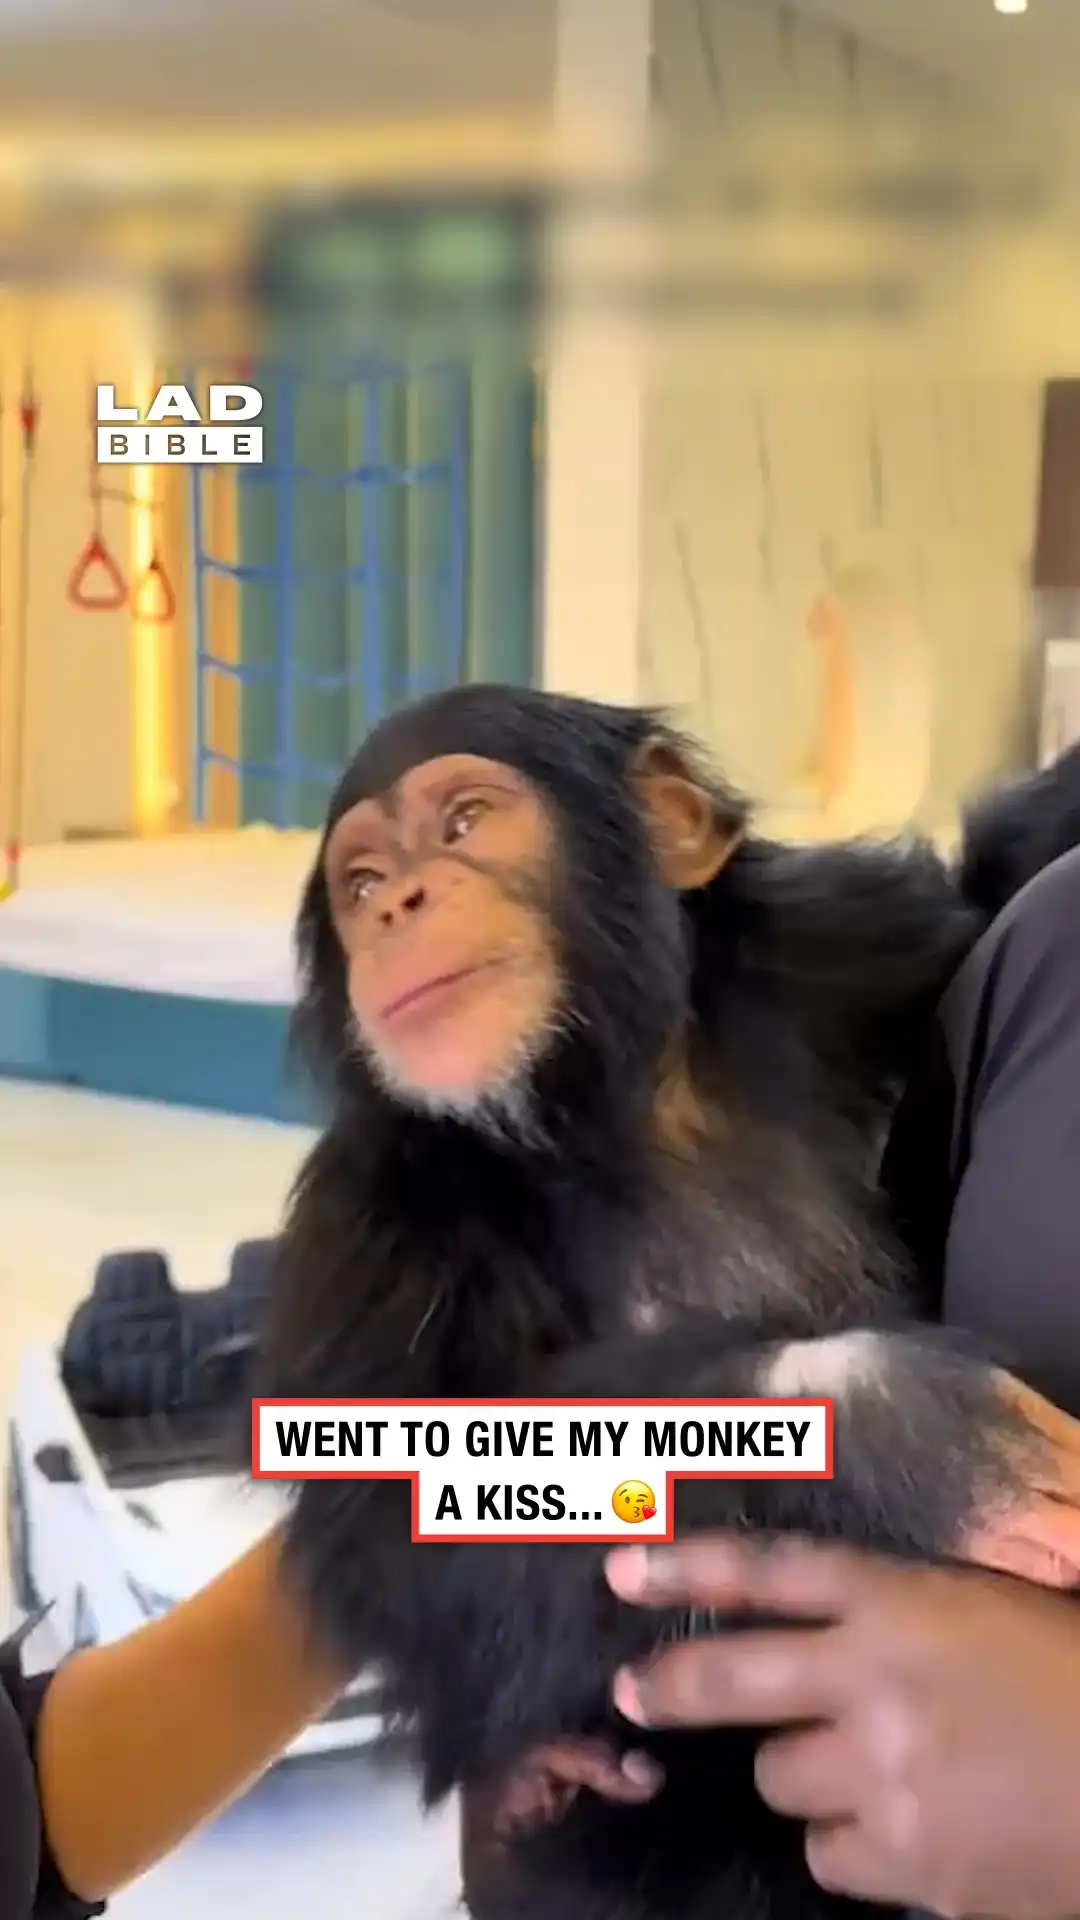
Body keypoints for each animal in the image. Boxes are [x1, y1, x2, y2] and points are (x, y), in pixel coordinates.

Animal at [258, 683, 1080, 1920]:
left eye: (463, 823)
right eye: (359, 881)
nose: (399, 902)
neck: (612, 1105)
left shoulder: (850, 943)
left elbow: (983, 887)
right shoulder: (375, 1221)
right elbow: (403, 1536)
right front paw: (904, 1434)